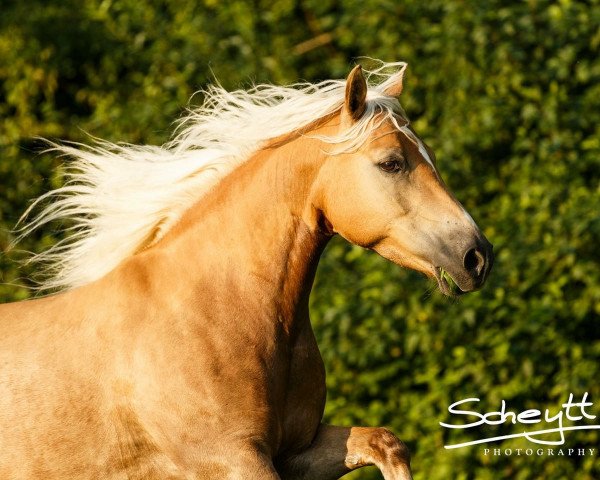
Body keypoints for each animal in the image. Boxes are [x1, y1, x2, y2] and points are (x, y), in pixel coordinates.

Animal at [0, 62, 492, 478]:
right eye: (391, 162)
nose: (478, 256)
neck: (219, 306)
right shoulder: (231, 459)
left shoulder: (296, 451)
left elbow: (386, 442)